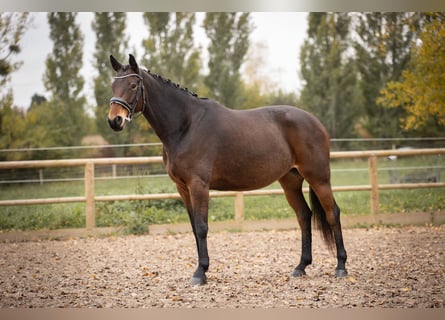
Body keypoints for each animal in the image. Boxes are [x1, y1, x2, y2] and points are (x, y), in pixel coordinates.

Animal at [107, 54, 346, 284]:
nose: (114, 120)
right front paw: (200, 269)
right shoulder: (182, 188)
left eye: (133, 85)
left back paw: (341, 267)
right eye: (113, 85)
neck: (187, 125)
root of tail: (314, 120)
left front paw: (200, 273)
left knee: (332, 213)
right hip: (290, 181)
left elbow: (202, 227)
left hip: (319, 178)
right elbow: (194, 227)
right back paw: (300, 267)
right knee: (304, 216)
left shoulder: (199, 185)